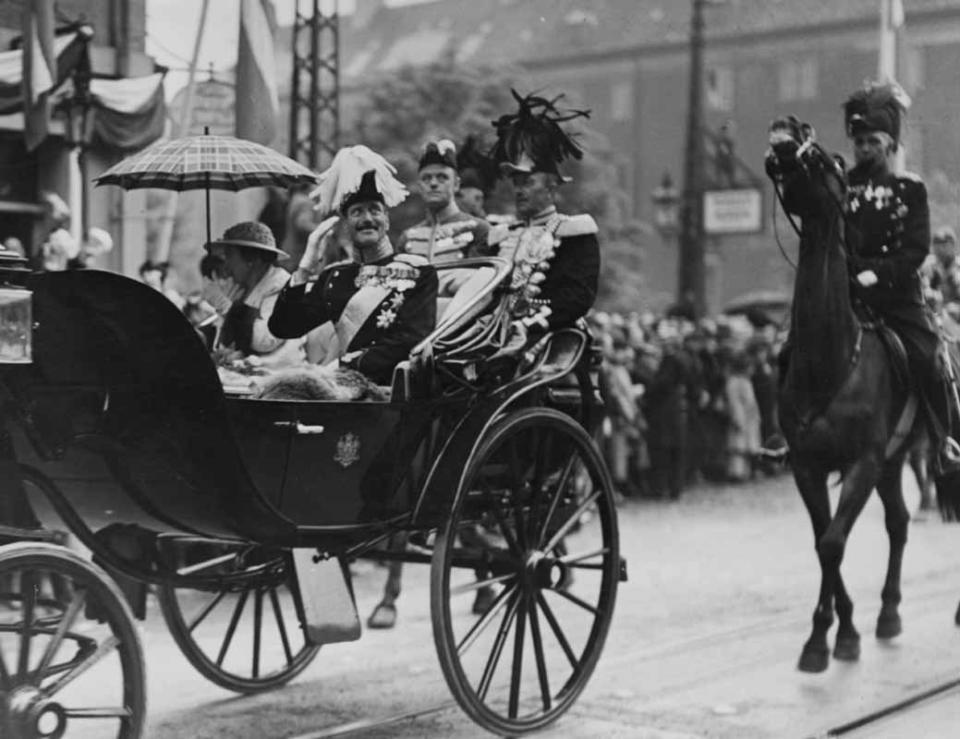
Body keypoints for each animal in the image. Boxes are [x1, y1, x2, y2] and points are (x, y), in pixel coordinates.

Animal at [764, 132, 924, 672]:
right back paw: (889, 613)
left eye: (826, 158)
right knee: (898, 522)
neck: (829, 361)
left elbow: (834, 540)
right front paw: (832, 634)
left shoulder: (862, 463)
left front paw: (832, 638)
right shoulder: (808, 466)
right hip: (895, 462)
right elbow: (823, 543)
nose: (783, 130)